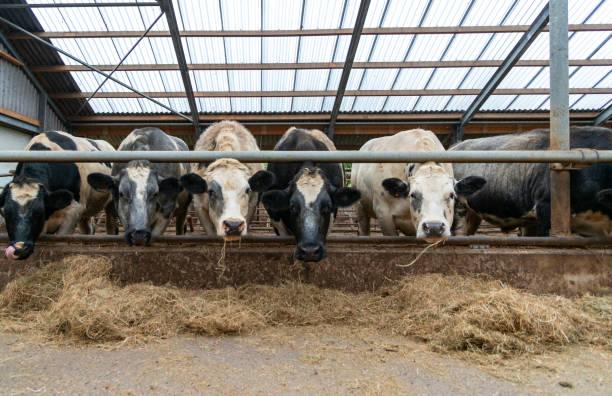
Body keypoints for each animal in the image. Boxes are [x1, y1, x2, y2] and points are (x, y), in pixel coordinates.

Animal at [0, 131, 115, 260]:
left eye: (39, 212)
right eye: (6, 213)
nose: (19, 249)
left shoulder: (74, 210)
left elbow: (60, 241)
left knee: (111, 225)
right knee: (88, 229)